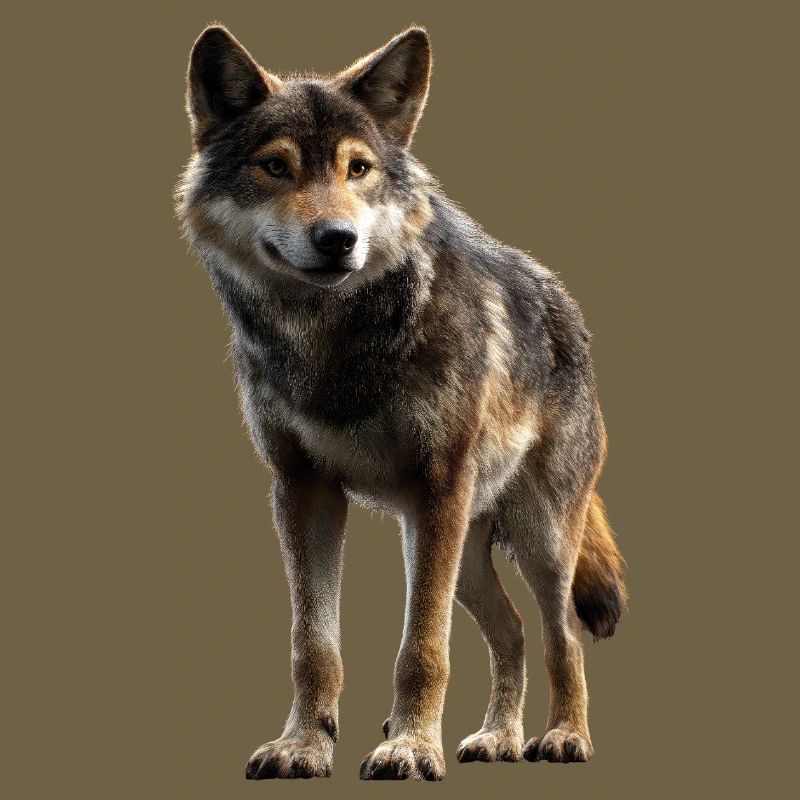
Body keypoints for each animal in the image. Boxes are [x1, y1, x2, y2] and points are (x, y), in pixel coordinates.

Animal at [177, 24, 626, 781]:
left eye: (358, 168)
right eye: (276, 167)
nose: (338, 239)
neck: (334, 340)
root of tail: (566, 304)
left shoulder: (436, 487)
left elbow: (422, 648)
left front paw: (410, 747)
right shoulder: (303, 490)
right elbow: (313, 646)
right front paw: (304, 745)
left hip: (530, 537)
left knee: (559, 635)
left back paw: (564, 737)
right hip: (461, 551)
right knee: (511, 634)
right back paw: (498, 738)